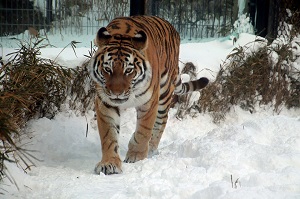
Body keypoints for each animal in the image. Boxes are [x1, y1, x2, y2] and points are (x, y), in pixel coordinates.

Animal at [89, 15, 209, 174]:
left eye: (128, 70)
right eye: (107, 69)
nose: (117, 93)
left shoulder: (149, 101)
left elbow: (143, 131)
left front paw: (136, 156)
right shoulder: (105, 103)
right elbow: (109, 135)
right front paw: (109, 163)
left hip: (164, 93)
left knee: (161, 121)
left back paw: (151, 149)